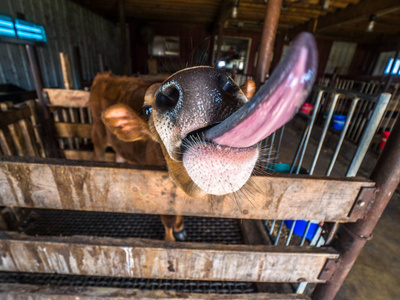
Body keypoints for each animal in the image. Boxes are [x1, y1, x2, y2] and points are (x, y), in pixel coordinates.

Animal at [89, 32, 318, 243]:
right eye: (146, 110)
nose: (197, 85)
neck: (188, 189)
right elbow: (168, 221)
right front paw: (171, 240)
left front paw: (181, 229)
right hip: (98, 135)